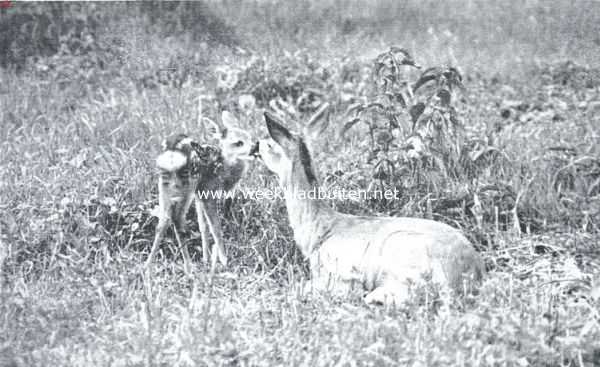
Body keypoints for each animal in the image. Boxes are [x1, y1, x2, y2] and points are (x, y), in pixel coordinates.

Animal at [148, 112, 255, 274]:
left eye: (249, 136)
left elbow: (202, 226)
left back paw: (148, 266)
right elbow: (215, 227)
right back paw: (189, 267)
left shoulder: (200, 194)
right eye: (238, 143)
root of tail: (172, 155)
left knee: (163, 221)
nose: (256, 147)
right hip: (187, 185)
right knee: (177, 219)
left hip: (165, 185)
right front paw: (224, 260)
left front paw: (206, 258)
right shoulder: (208, 191)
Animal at [252, 111, 482, 304]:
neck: (318, 232)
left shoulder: (338, 276)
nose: (254, 145)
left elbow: (300, 286)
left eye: (269, 144)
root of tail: (472, 272)